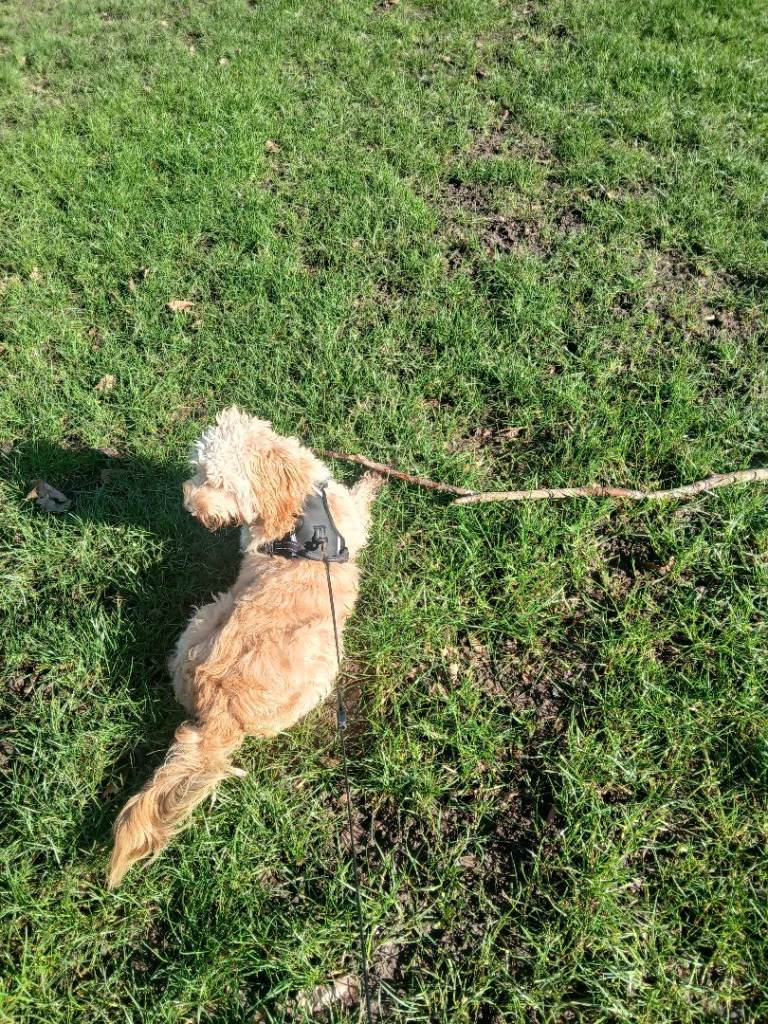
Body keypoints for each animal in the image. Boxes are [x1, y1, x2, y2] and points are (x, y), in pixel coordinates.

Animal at [108, 407, 382, 887]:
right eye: (201, 472)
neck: (295, 506)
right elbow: (361, 502)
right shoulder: (351, 520)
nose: (190, 507)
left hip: (201, 624)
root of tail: (219, 716)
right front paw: (373, 478)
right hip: (312, 661)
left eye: (221, 483)